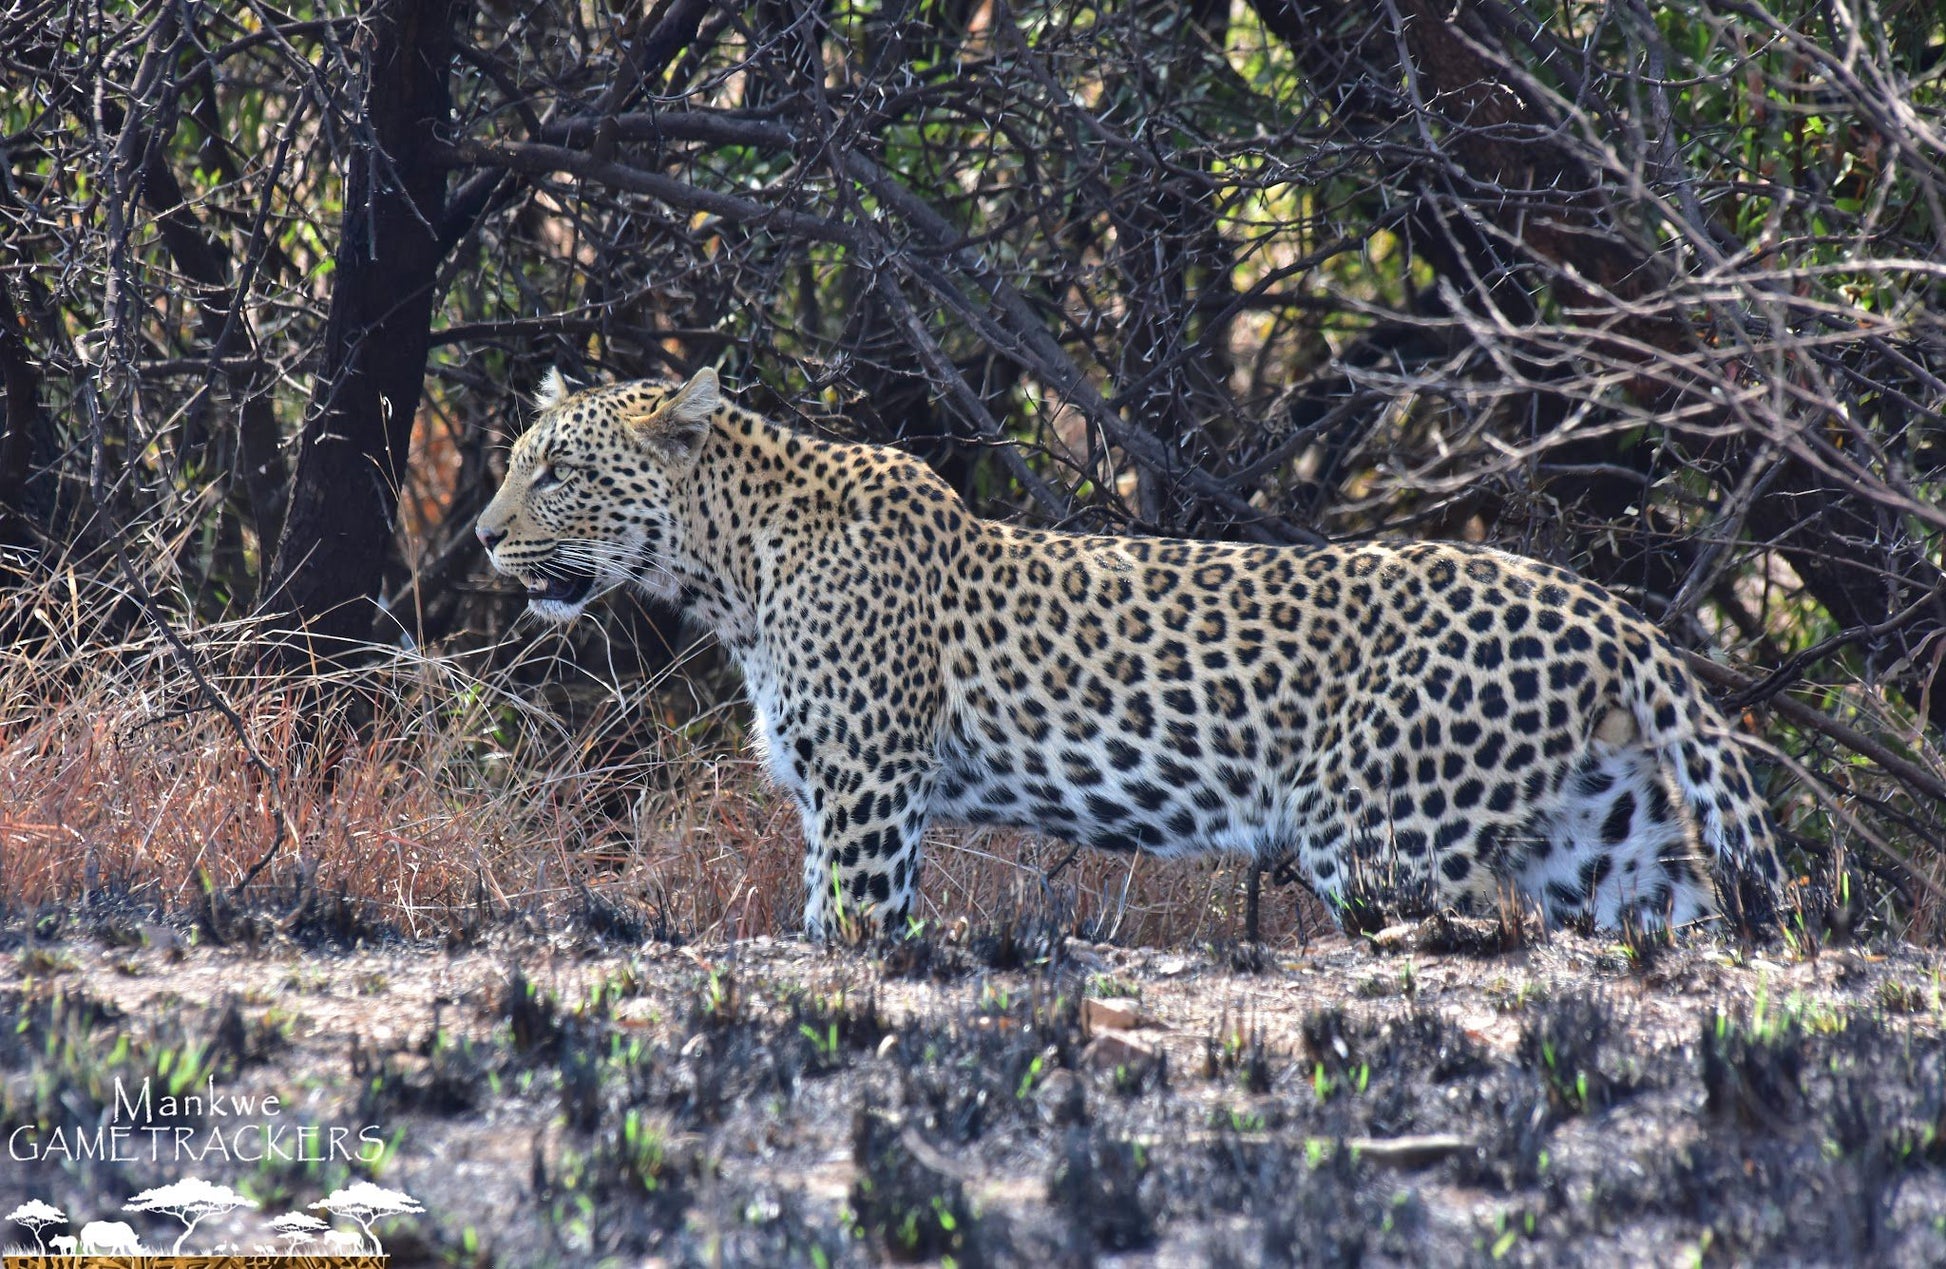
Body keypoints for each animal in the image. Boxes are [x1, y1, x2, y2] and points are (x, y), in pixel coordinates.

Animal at [470, 365, 1782, 942]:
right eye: (518, 463)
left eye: (559, 471)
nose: (482, 535)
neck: (732, 571)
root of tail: (1604, 610)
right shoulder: (826, 796)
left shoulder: (867, 794)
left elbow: (855, 929)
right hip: (1599, 834)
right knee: (1677, 918)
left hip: (1384, 834)